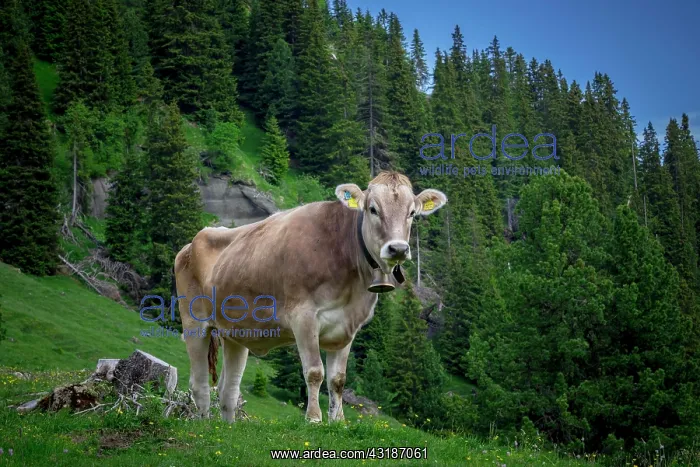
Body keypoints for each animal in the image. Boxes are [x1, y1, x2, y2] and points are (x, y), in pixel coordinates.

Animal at [174, 171, 447, 423]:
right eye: (373, 209)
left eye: (412, 213)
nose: (398, 249)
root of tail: (191, 243)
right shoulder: (302, 316)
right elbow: (315, 372)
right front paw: (314, 419)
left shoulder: (348, 326)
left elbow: (338, 379)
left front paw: (339, 422)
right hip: (194, 323)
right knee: (199, 384)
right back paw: (203, 424)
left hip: (235, 333)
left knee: (228, 390)